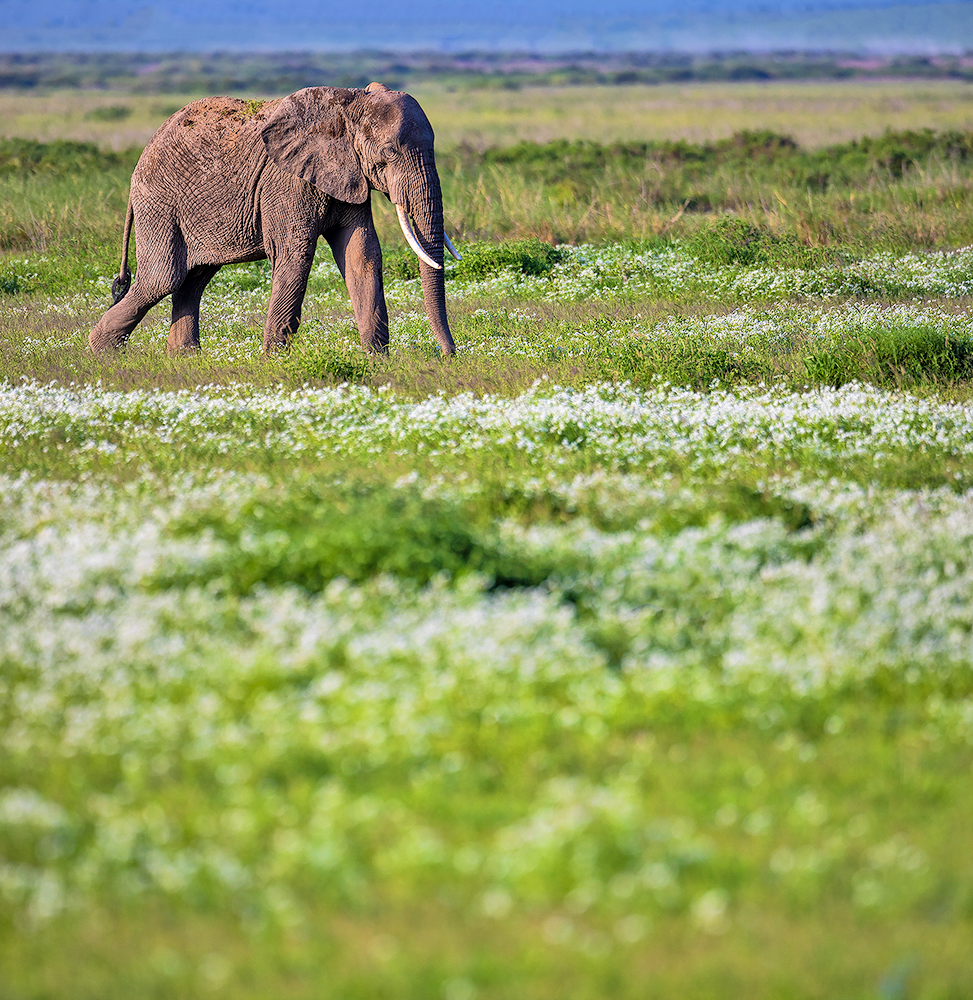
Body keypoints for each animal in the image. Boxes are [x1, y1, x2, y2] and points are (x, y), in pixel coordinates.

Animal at [87, 83, 460, 356]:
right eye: (389, 154)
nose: (449, 354)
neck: (347, 104)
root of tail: (142, 155)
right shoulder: (286, 181)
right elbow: (295, 254)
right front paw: (276, 360)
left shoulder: (348, 175)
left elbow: (362, 254)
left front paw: (377, 359)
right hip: (159, 202)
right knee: (163, 277)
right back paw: (103, 351)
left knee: (193, 278)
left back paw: (185, 357)